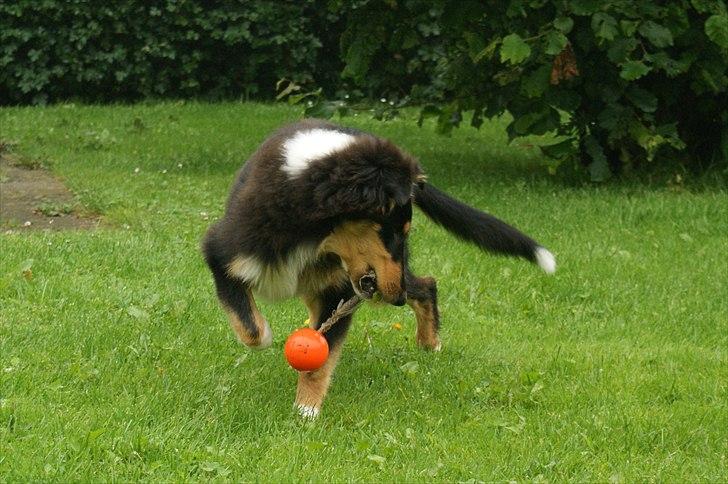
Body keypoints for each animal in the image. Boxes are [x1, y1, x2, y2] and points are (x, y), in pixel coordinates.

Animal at [202, 119, 556, 418]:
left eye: (406, 231)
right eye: (394, 231)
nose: (397, 300)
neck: (310, 235)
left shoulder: (339, 290)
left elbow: (320, 355)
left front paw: (306, 410)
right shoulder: (222, 252)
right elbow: (250, 329)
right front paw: (269, 341)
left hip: (381, 282)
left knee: (426, 284)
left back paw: (430, 342)